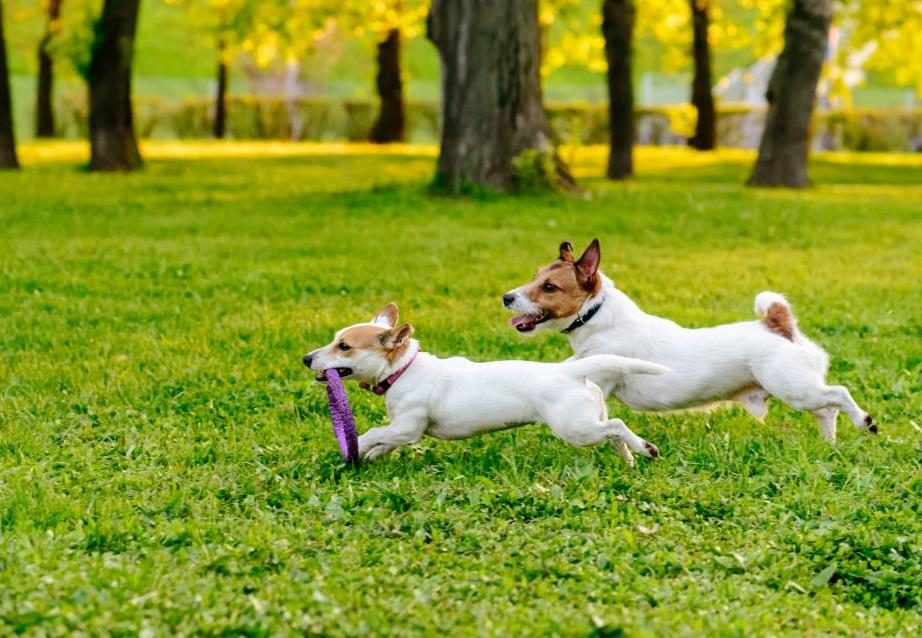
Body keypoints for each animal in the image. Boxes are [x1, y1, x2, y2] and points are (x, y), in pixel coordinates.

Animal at [302, 304, 668, 464]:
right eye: (335, 339)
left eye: (344, 347)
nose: (306, 358)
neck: (403, 369)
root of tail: (572, 372)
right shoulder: (401, 430)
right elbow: (385, 440)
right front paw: (372, 456)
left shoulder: (408, 427)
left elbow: (376, 433)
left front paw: (358, 447)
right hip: (589, 420)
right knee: (612, 430)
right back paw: (629, 459)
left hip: (575, 428)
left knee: (617, 426)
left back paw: (644, 449)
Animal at [506, 238, 872, 442]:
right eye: (535, 276)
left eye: (549, 287)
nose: (506, 297)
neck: (597, 315)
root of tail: (778, 326)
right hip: (802, 391)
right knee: (827, 410)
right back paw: (830, 442)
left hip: (794, 387)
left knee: (839, 394)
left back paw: (864, 422)